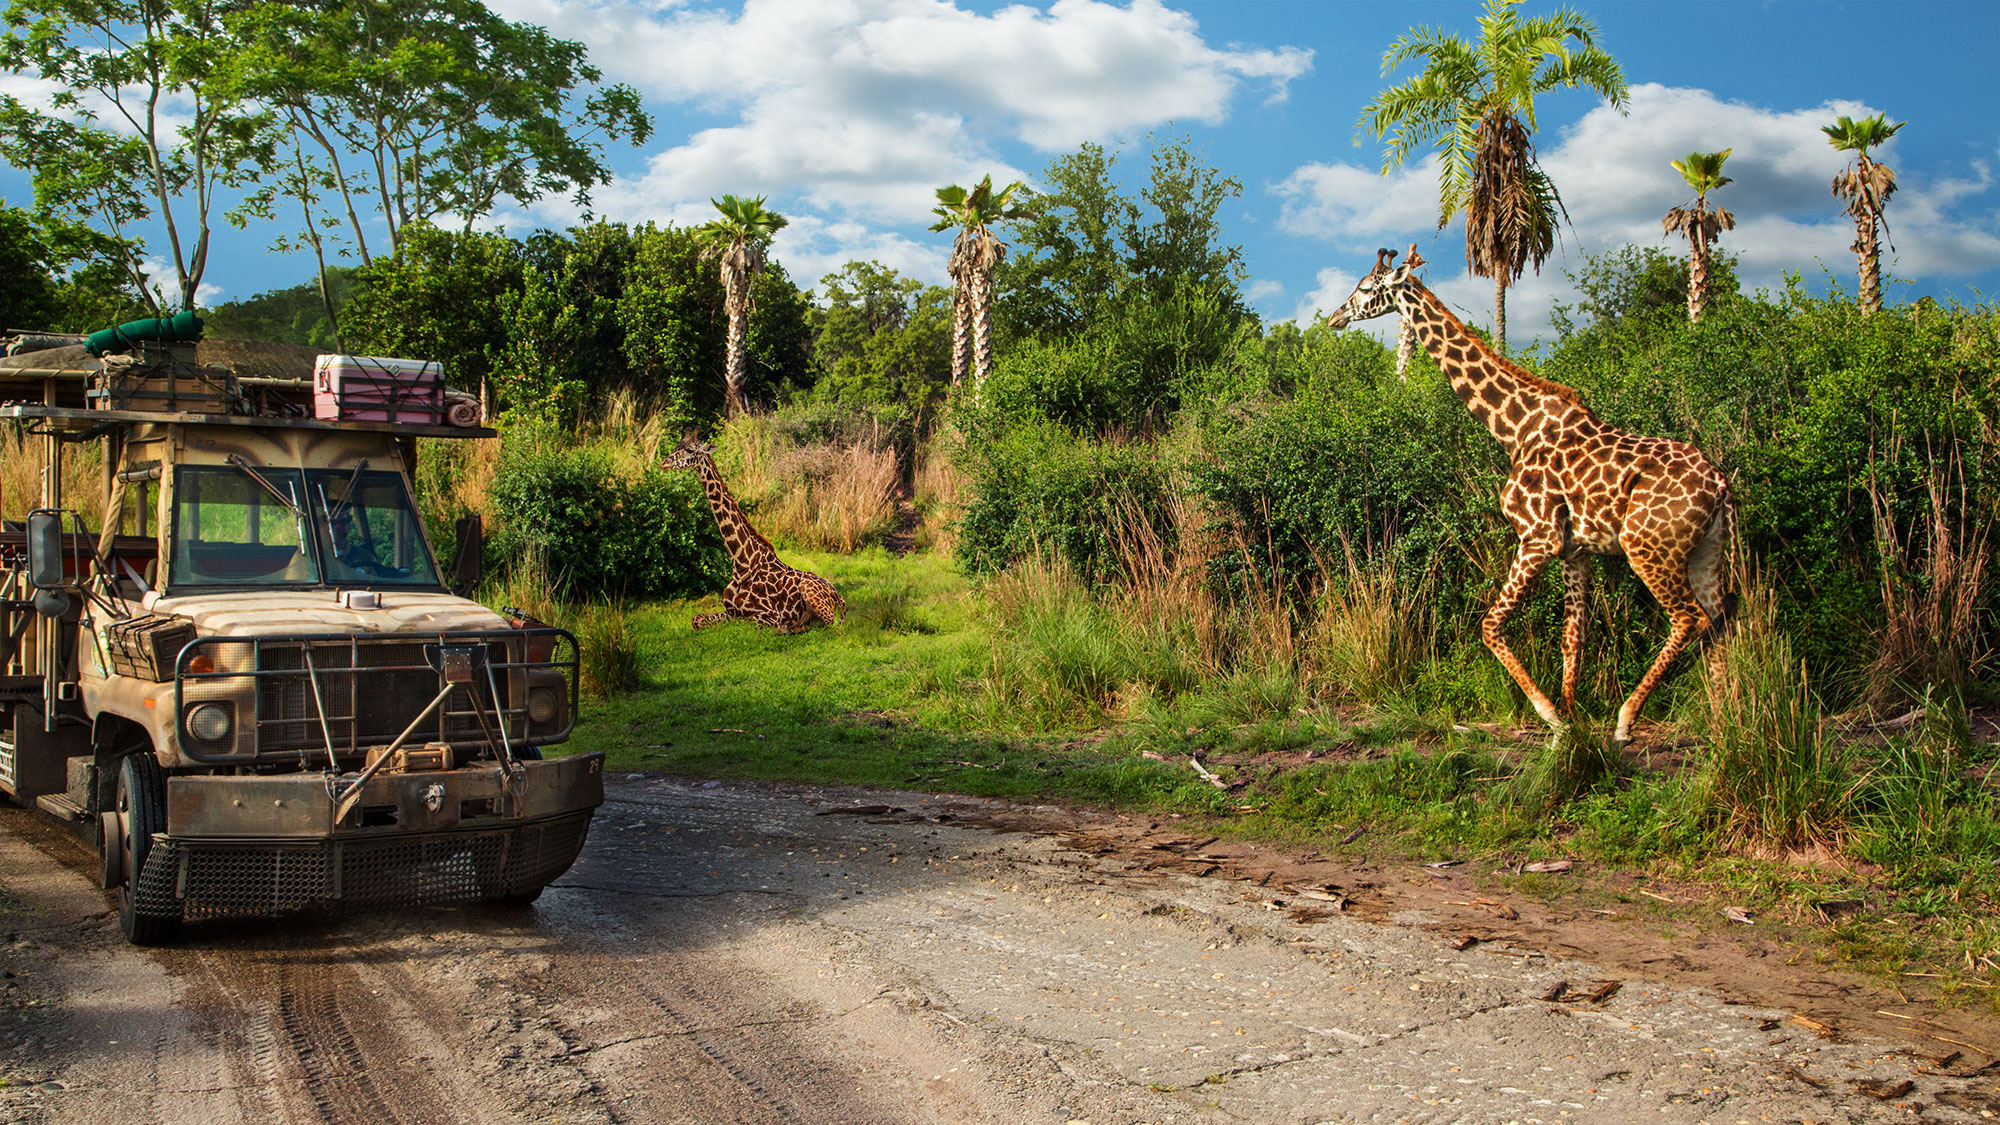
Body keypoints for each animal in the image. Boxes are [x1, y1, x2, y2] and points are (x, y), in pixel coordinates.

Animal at [660, 436, 840, 636]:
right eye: (676, 446)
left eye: (690, 450)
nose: (664, 463)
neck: (742, 563)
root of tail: (840, 599)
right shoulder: (731, 610)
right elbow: (697, 619)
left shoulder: (769, 615)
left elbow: (750, 622)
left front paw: (783, 627)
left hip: (811, 593)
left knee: (830, 625)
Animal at [1328, 245, 1736, 744]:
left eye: (1366, 287)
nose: (1335, 317)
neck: (1514, 429)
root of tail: (1720, 486)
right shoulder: (1575, 550)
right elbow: (1573, 637)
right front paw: (1573, 729)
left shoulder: (1537, 536)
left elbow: (1489, 625)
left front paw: (1553, 717)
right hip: (1706, 553)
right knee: (1718, 622)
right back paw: (1725, 725)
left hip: (1648, 547)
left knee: (1689, 618)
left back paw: (1627, 719)